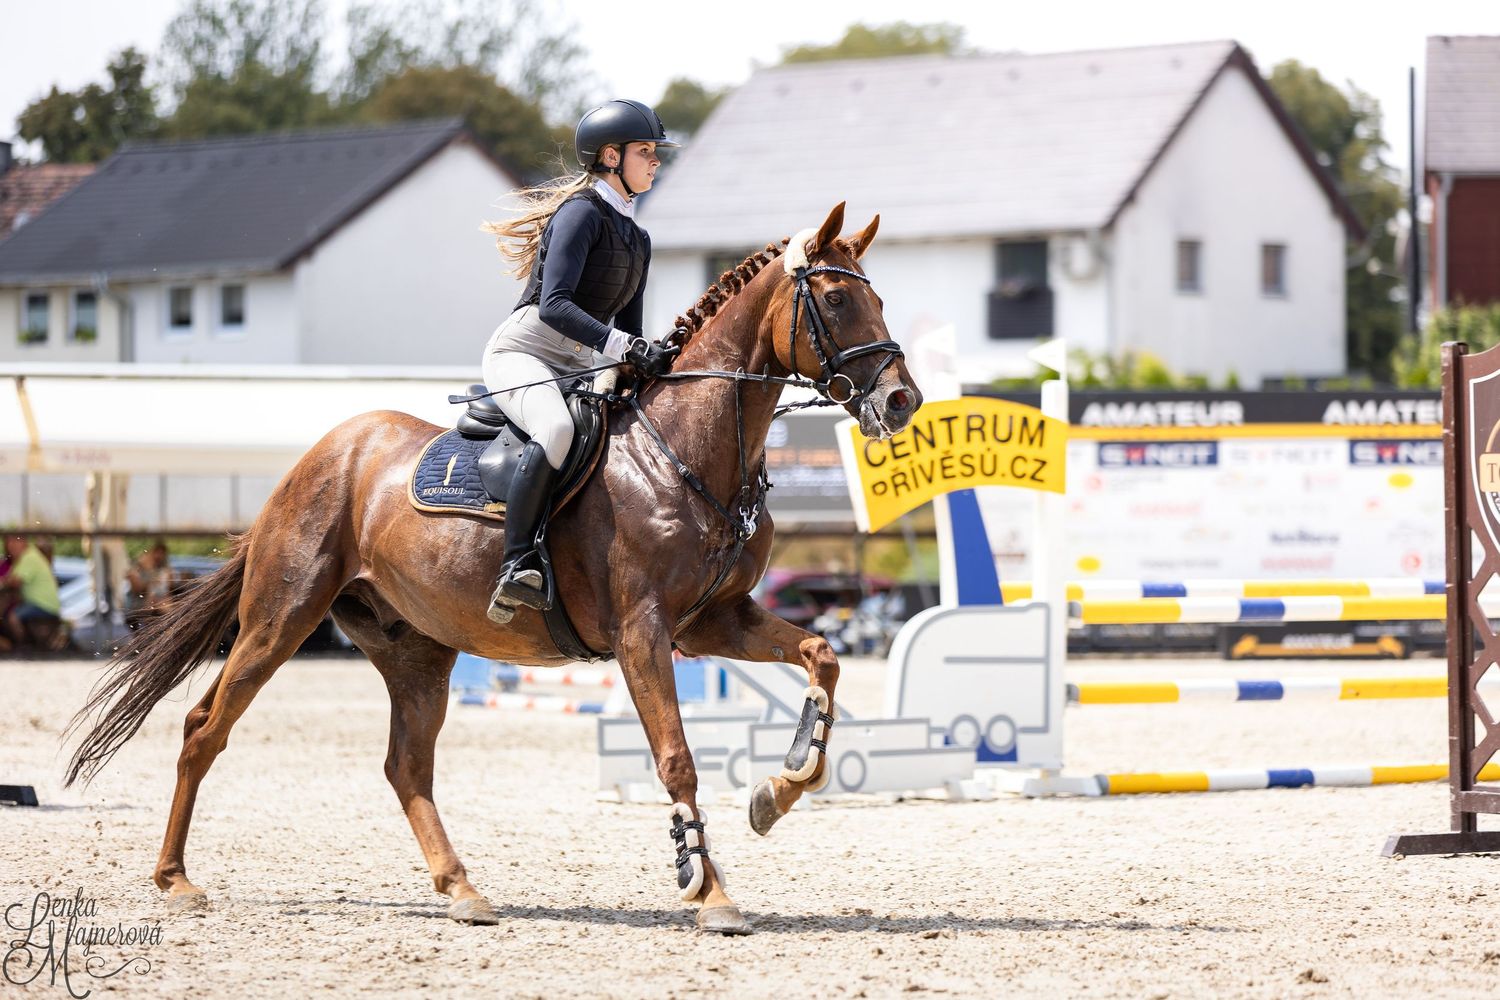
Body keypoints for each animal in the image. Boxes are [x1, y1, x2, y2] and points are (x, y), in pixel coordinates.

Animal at [64, 202, 922, 936]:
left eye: (877, 299)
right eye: (837, 302)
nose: (902, 401)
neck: (685, 450)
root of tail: (315, 461)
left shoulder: (714, 619)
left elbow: (821, 655)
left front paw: (781, 786)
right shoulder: (644, 631)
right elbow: (676, 757)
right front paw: (707, 890)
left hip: (415, 648)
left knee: (406, 765)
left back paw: (461, 889)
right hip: (282, 617)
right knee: (206, 727)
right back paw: (175, 878)